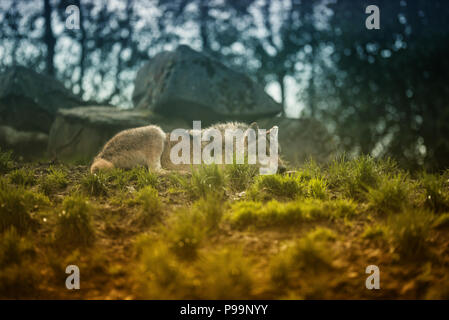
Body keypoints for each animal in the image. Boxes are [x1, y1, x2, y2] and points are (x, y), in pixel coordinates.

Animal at [90, 122, 286, 172]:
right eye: (265, 152)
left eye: (278, 153)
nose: (283, 169)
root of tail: (100, 155)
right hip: (156, 132)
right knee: (155, 171)